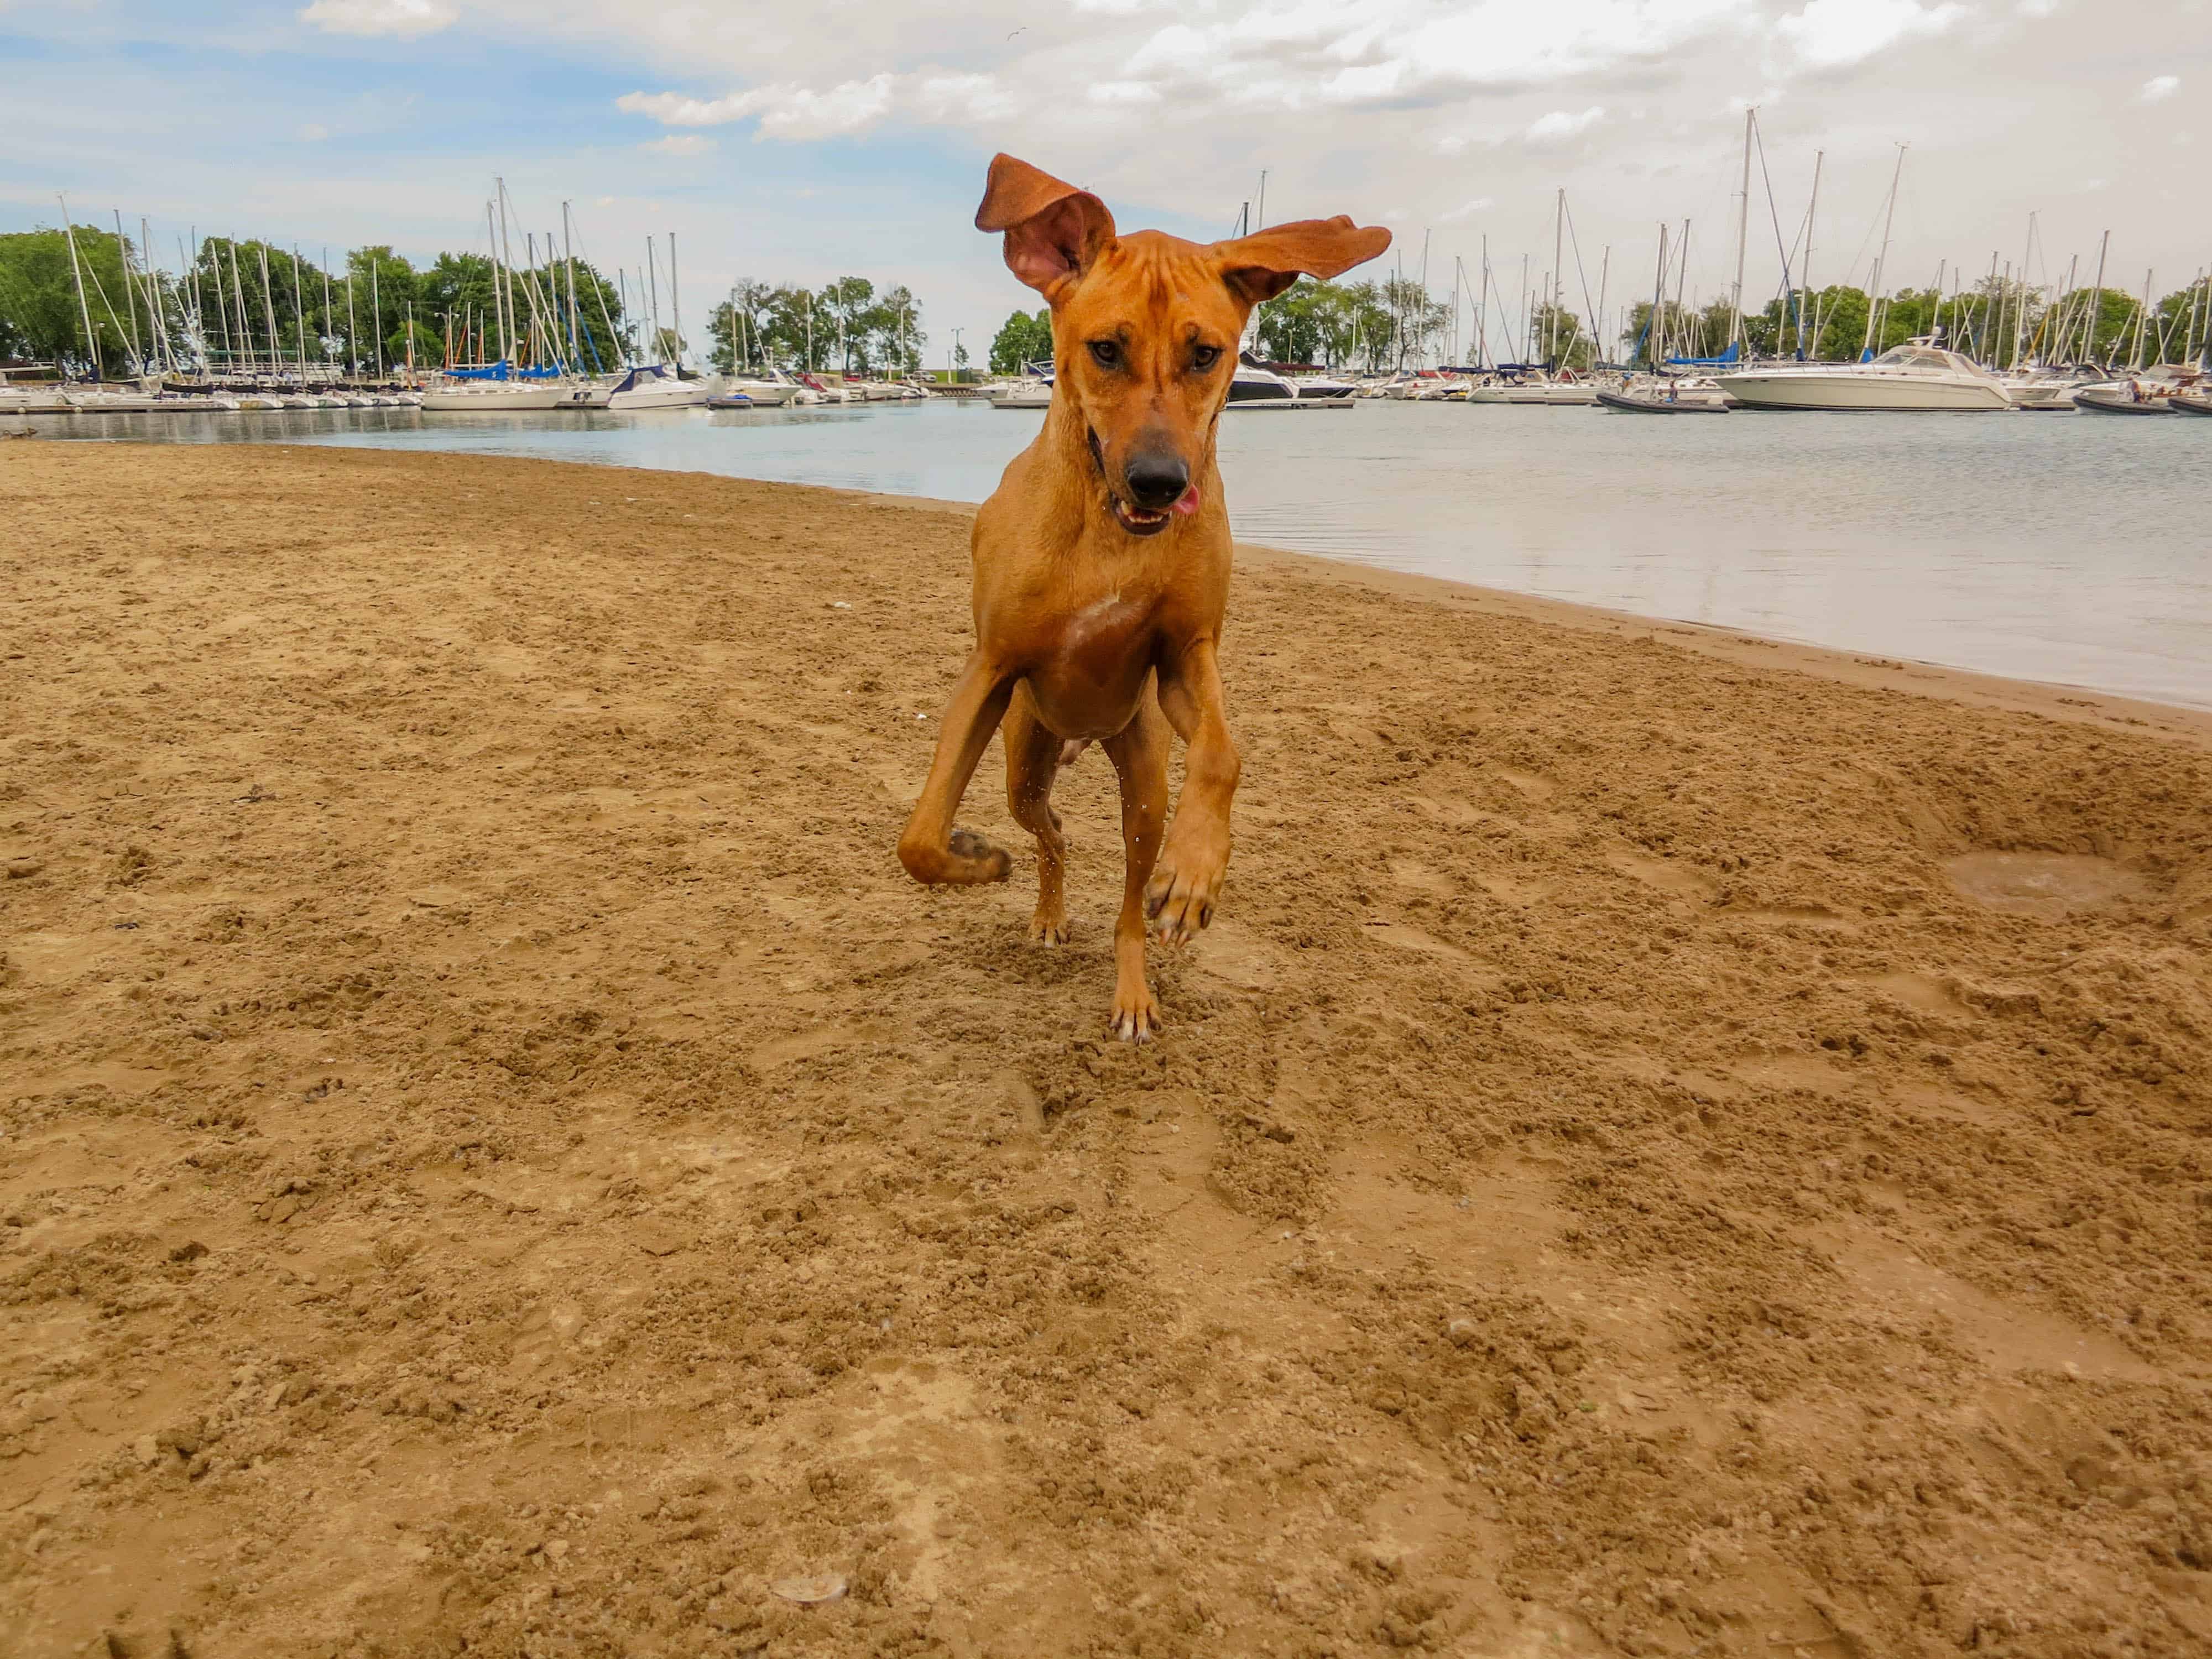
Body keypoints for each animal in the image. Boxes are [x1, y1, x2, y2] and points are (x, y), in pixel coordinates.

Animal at [894, 156, 1380, 1040]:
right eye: (1105, 350)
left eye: (1207, 353)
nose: (1161, 481)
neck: (1110, 534)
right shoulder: (992, 669)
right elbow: (920, 838)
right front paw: (977, 858)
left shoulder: (1186, 655)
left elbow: (1223, 753)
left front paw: (1195, 875)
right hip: (1025, 757)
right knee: (1048, 828)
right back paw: (1044, 903)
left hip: (1143, 775)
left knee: (1125, 894)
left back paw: (1133, 983)